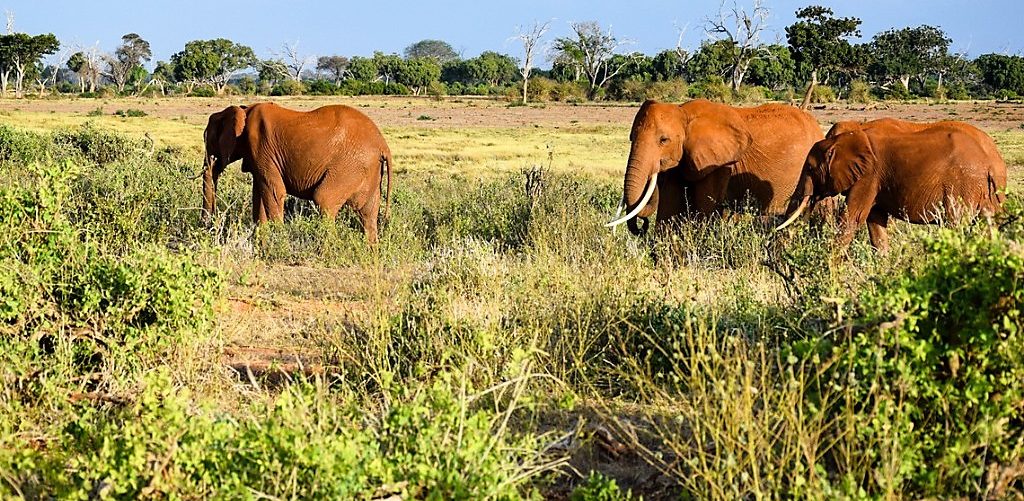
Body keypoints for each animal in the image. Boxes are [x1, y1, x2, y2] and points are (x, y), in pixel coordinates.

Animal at [201, 101, 393, 241]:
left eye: (207, 139)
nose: (208, 227)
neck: (244, 109)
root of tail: (383, 145)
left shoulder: (261, 148)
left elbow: (275, 192)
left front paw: (277, 239)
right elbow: (259, 195)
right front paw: (261, 238)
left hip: (350, 166)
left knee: (324, 199)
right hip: (368, 169)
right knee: (368, 214)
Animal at [606, 100, 823, 237]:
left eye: (663, 140)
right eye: (632, 137)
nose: (642, 227)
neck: (683, 113)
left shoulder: (719, 163)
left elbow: (704, 206)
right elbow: (670, 206)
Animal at [774, 120, 1007, 249]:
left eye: (810, 168)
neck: (853, 134)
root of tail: (989, 163)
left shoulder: (869, 175)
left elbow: (852, 219)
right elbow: (875, 222)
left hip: (962, 186)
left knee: (955, 225)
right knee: (989, 225)